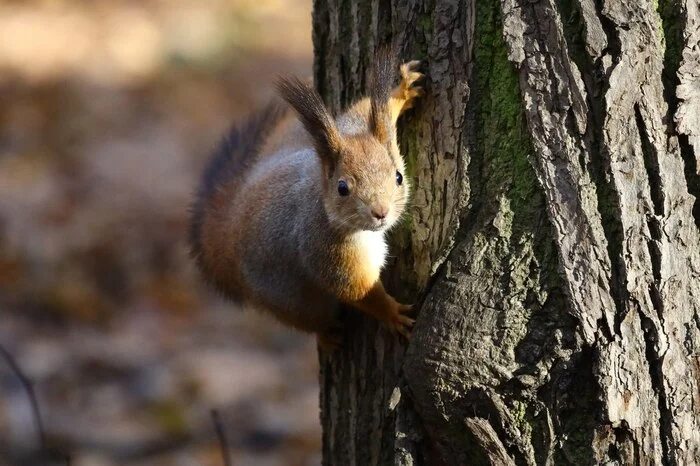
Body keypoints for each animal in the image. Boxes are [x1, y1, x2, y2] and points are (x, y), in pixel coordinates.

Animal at [189, 51, 424, 349]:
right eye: (342, 188)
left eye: (398, 177)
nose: (380, 212)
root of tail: (229, 228)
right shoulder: (326, 252)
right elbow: (358, 291)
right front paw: (393, 314)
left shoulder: (350, 129)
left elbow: (359, 112)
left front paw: (402, 92)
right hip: (291, 302)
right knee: (310, 320)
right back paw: (326, 335)